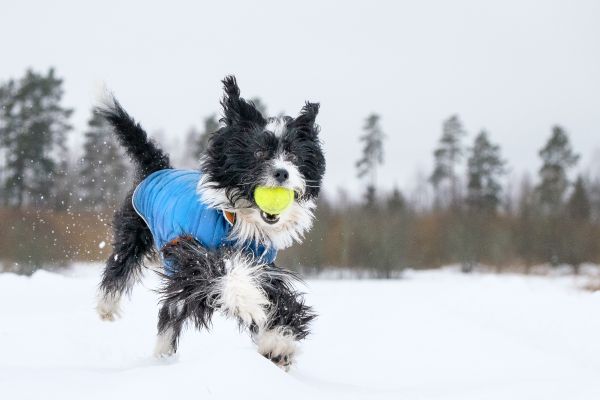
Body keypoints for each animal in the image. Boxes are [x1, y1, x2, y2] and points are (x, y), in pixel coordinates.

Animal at [95, 76, 326, 370]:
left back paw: (162, 356)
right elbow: (220, 269)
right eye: (259, 153)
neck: (237, 220)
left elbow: (275, 294)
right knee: (122, 265)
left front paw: (278, 342)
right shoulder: (187, 250)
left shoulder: (261, 260)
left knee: (170, 310)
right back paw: (108, 308)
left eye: (294, 156)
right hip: (136, 231)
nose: (283, 173)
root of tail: (160, 168)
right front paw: (247, 301)